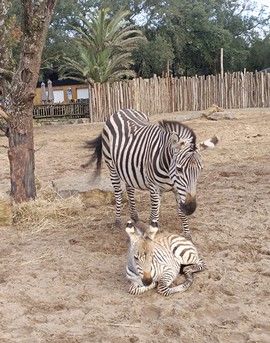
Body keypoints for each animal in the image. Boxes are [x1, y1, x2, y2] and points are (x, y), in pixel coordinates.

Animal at [83, 109, 218, 241]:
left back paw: (135, 217)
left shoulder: (176, 188)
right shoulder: (154, 187)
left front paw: (187, 235)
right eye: (179, 169)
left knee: (130, 189)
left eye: (200, 170)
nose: (190, 208)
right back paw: (117, 223)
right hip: (112, 167)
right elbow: (155, 212)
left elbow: (177, 212)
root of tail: (119, 111)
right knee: (118, 194)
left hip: (127, 168)